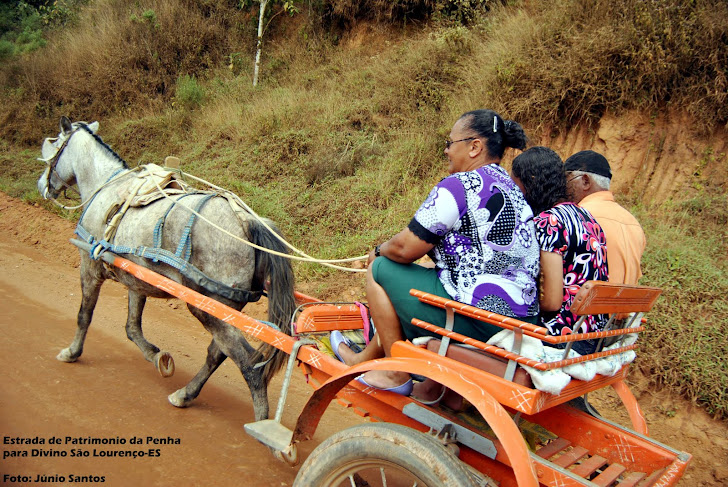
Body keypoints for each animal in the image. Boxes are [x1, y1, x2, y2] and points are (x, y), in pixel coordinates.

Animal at [36, 116, 298, 422]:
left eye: (52, 147)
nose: (42, 185)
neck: (107, 185)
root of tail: (247, 221)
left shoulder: (89, 265)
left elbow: (84, 315)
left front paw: (72, 352)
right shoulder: (136, 277)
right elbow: (132, 327)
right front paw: (157, 357)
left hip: (207, 307)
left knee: (248, 363)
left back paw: (260, 423)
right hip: (226, 309)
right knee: (218, 353)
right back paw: (185, 394)